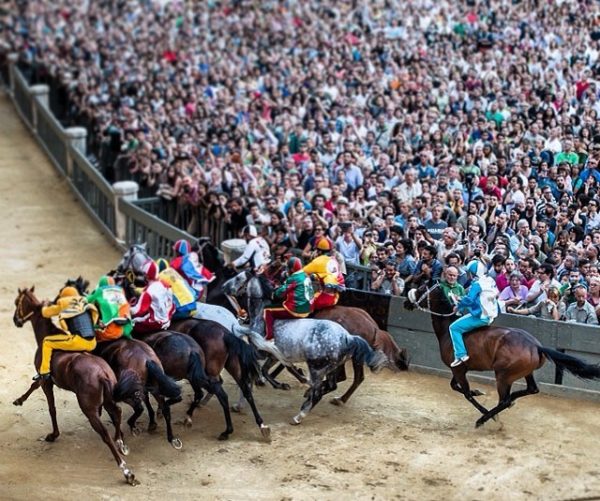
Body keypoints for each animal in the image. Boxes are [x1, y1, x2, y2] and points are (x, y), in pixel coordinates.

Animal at [12, 288, 137, 482]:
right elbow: (34, 387)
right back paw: (120, 442)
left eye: (17, 302)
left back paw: (126, 470)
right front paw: (19, 400)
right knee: (117, 413)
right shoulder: (45, 379)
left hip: (89, 409)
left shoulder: (46, 380)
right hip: (107, 400)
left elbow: (51, 408)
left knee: (105, 434)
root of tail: (102, 373)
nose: (16, 320)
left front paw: (53, 435)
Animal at [223, 270, 386, 422]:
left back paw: (301, 414)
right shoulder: (274, 355)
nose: (224, 287)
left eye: (238, 277)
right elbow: (269, 369)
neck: (260, 313)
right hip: (335, 366)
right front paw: (283, 382)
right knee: (335, 383)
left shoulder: (261, 351)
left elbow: (263, 370)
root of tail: (348, 336)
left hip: (318, 367)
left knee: (327, 388)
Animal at [406, 284, 600, 428]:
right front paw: (478, 391)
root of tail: (536, 346)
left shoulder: (459, 369)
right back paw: (510, 401)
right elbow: (457, 387)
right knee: (530, 390)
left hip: (503, 376)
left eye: (421, 289)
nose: (406, 303)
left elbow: (466, 394)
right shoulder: (459, 369)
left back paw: (484, 419)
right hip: (524, 373)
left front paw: (484, 412)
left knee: (504, 401)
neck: (447, 330)